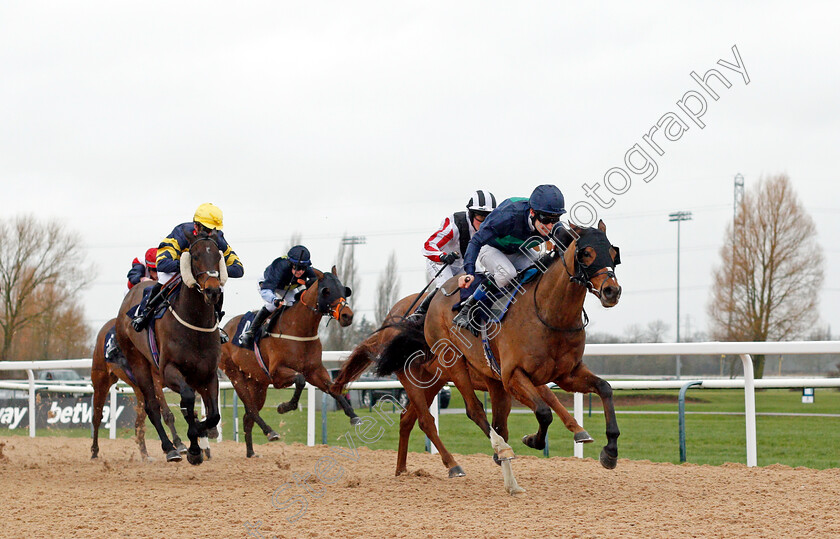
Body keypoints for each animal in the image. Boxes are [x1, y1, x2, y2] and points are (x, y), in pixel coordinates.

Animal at [90, 318, 185, 462]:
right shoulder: (155, 381)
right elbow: (167, 414)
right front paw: (178, 444)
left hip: (139, 391)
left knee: (138, 424)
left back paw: (145, 455)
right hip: (101, 381)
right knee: (97, 417)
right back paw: (94, 452)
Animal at [116, 232, 226, 464]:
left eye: (218, 255)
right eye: (194, 256)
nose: (212, 290)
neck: (195, 324)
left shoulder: (208, 374)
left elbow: (212, 415)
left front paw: (201, 436)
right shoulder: (168, 371)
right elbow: (187, 400)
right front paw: (193, 446)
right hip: (139, 363)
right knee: (151, 406)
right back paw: (170, 448)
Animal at [220, 268, 358, 458]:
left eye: (345, 290)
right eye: (327, 291)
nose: (347, 316)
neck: (298, 329)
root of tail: (224, 330)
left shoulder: (315, 371)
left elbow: (332, 387)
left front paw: (353, 415)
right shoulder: (277, 374)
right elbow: (300, 380)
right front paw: (284, 407)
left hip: (258, 383)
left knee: (248, 416)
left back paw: (251, 452)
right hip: (235, 375)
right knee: (251, 408)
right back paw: (270, 432)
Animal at [378, 219, 620, 472]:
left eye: (613, 252)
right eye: (587, 253)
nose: (612, 291)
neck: (548, 314)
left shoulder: (566, 373)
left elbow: (604, 388)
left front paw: (609, 450)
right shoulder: (512, 375)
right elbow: (544, 411)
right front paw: (533, 439)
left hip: (437, 381)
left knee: (409, 418)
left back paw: (402, 469)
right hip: (447, 366)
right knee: (463, 412)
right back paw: (479, 456)